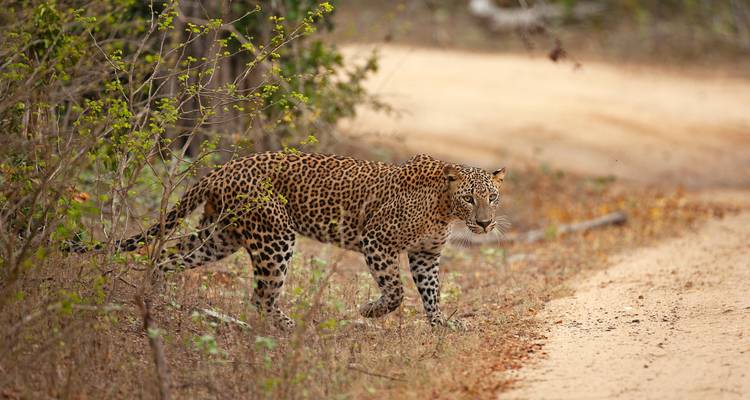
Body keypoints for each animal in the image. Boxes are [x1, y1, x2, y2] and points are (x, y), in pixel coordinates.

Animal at [68, 152, 506, 330]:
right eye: (470, 197)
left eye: (493, 197)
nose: (485, 224)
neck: (445, 208)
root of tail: (223, 169)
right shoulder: (377, 241)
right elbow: (396, 292)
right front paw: (370, 311)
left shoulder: (425, 255)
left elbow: (432, 293)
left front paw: (440, 326)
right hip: (275, 236)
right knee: (261, 296)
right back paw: (292, 328)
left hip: (219, 235)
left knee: (167, 257)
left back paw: (152, 297)